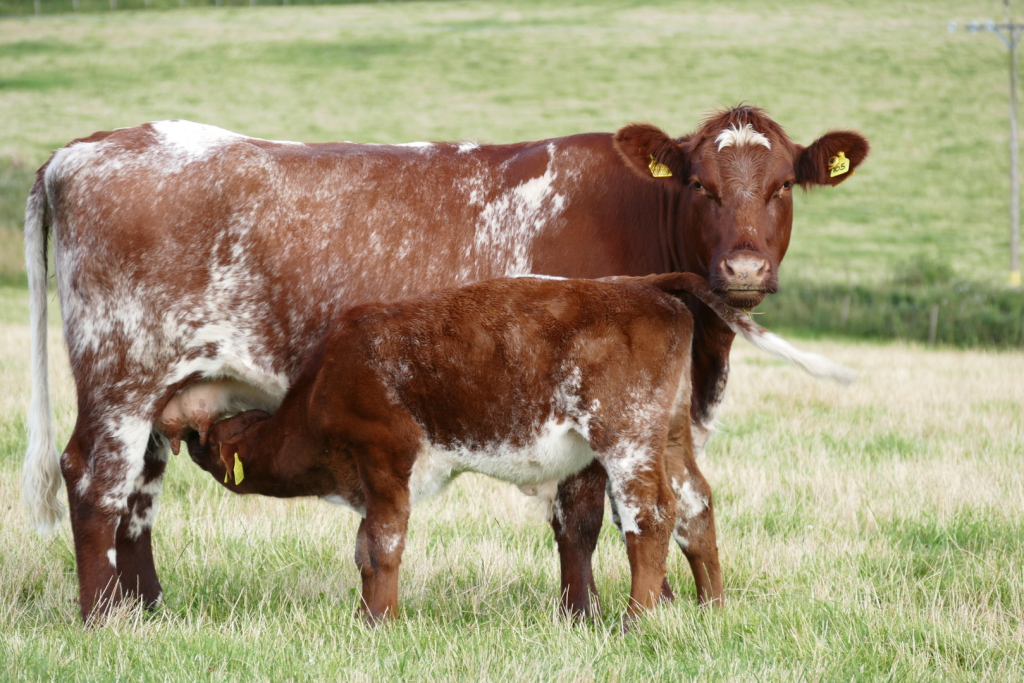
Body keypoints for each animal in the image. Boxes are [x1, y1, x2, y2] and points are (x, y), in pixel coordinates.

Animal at [181, 272, 851, 624]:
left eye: (214, 438)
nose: (188, 439)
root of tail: (646, 284)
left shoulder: (385, 462)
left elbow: (380, 548)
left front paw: (380, 622)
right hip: (670, 436)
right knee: (696, 507)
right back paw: (712, 608)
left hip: (627, 438)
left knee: (652, 515)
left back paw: (637, 621)